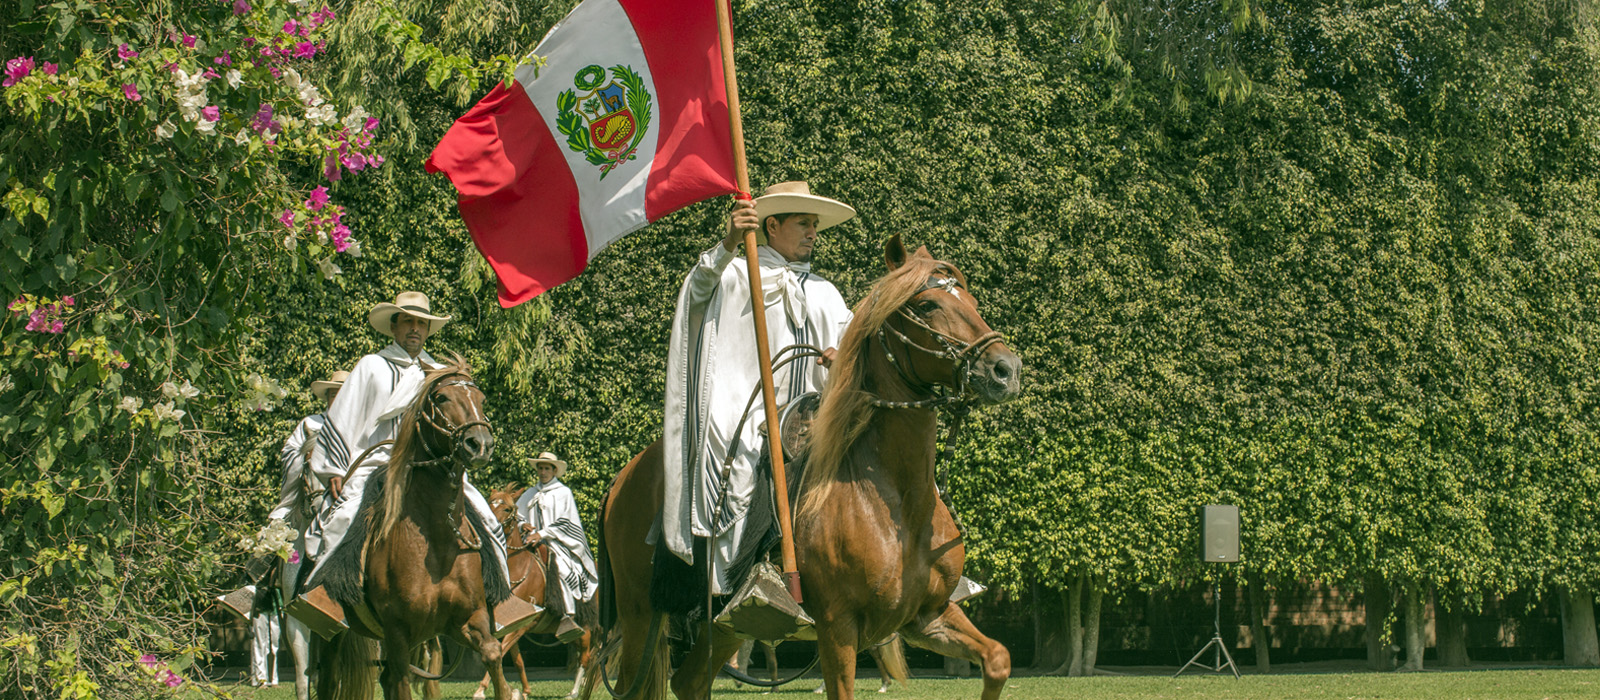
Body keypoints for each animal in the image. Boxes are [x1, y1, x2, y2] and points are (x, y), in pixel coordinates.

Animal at [312, 361, 512, 700]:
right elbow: (401, 680)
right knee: (331, 677)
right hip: (332, 634)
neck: (437, 542)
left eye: (482, 399)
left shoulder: (467, 619)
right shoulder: (398, 631)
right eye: (442, 397)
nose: (480, 444)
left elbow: (493, 654)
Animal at [473, 485, 604, 700]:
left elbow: (500, 651)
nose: (487, 528)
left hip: (586, 627)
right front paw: (524, 691)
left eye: (507, 508)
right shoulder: (512, 625)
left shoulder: (521, 627)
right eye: (489, 502)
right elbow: (516, 659)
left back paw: (575, 691)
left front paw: (481, 690)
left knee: (585, 657)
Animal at [601, 236, 1024, 700]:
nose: (1005, 370)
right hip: (639, 614)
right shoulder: (837, 627)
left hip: (723, 626)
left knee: (689, 682)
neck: (896, 504)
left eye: (972, 300)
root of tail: (622, 478)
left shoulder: (927, 616)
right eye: (928, 304)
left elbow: (999, 659)